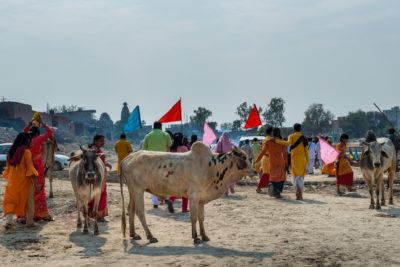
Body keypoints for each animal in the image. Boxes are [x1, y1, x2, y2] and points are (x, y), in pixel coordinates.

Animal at [119, 142, 256, 245]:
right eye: (243, 157)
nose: (254, 171)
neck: (211, 167)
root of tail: (128, 158)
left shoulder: (201, 199)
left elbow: (201, 217)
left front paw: (204, 235)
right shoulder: (193, 196)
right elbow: (193, 217)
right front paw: (196, 237)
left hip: (132, 190)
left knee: (130, 209)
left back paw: (133, 234)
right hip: (138, 190)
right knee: (140, 212)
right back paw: (150, 236)